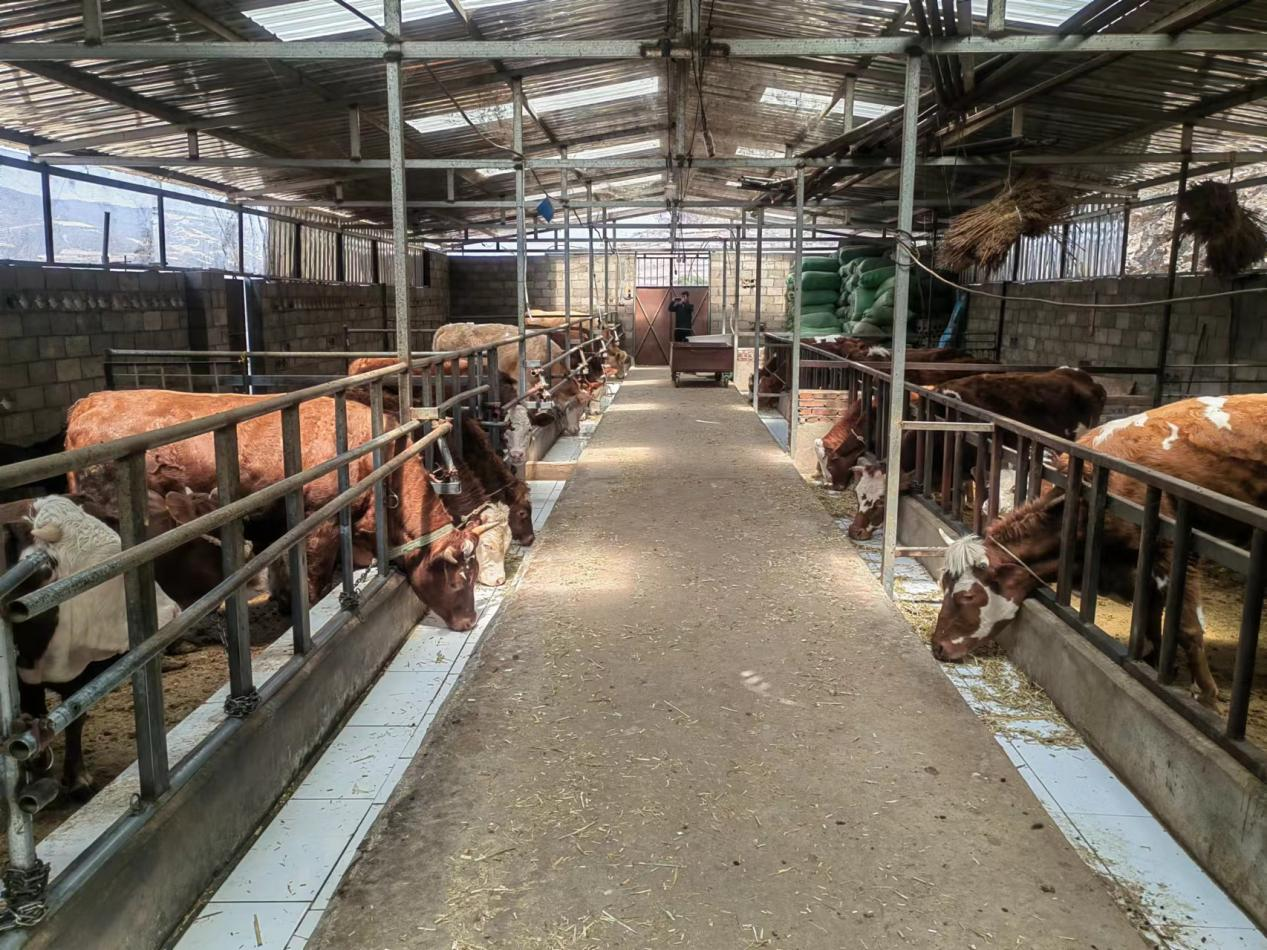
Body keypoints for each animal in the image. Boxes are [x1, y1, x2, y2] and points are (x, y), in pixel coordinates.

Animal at [63, 390, 483, 631]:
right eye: (459, 579)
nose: (469, 622)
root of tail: (88, 402)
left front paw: (282, 603)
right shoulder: (320, 523)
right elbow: (311, 581)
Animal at [930, 393, 1267, 708]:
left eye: (966, 596)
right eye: (943, 587)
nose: (937, 647)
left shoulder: (1174, 550)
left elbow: (1187, 628)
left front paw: (1206, 694)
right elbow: (1150, 620)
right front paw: (1157, 663)